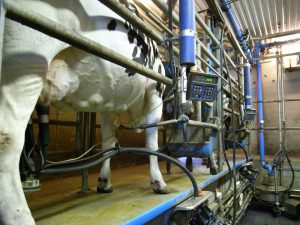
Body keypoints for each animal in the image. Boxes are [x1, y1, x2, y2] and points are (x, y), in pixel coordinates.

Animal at [0, 0, 169, 224]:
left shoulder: (108, 108)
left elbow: (108, 142)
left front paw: (104, 181)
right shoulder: (154, 97)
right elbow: (152, 142)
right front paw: (158, 181)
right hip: (27, 58)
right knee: (8, 138)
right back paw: (21, 216)